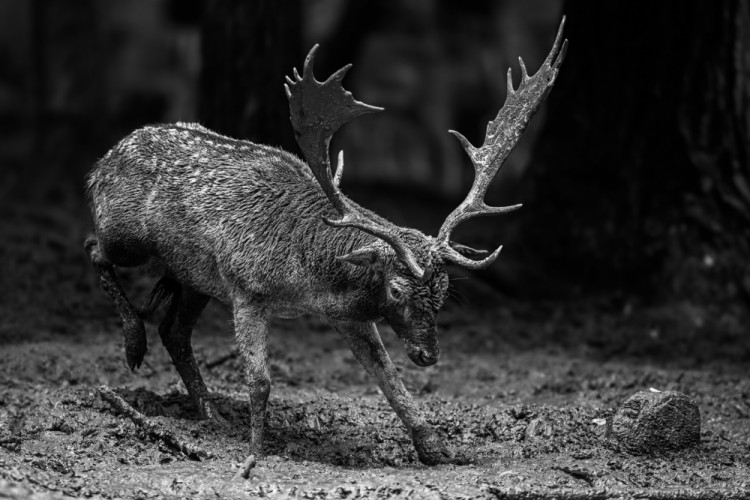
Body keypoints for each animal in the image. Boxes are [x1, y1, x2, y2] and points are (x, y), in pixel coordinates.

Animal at [85, 19, 568, 464]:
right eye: (397, 290)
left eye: (445, 292)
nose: (428, 355)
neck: (310, 284)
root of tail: (104, 159)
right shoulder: (245, 289)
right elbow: (260, 380)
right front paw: (255, 454)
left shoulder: (347, 315)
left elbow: (390, 380)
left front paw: (438, 450)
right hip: (127, 234)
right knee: (95, 249)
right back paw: (134, 345)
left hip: (193, 275)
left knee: (174, 329)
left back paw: (208, 412)